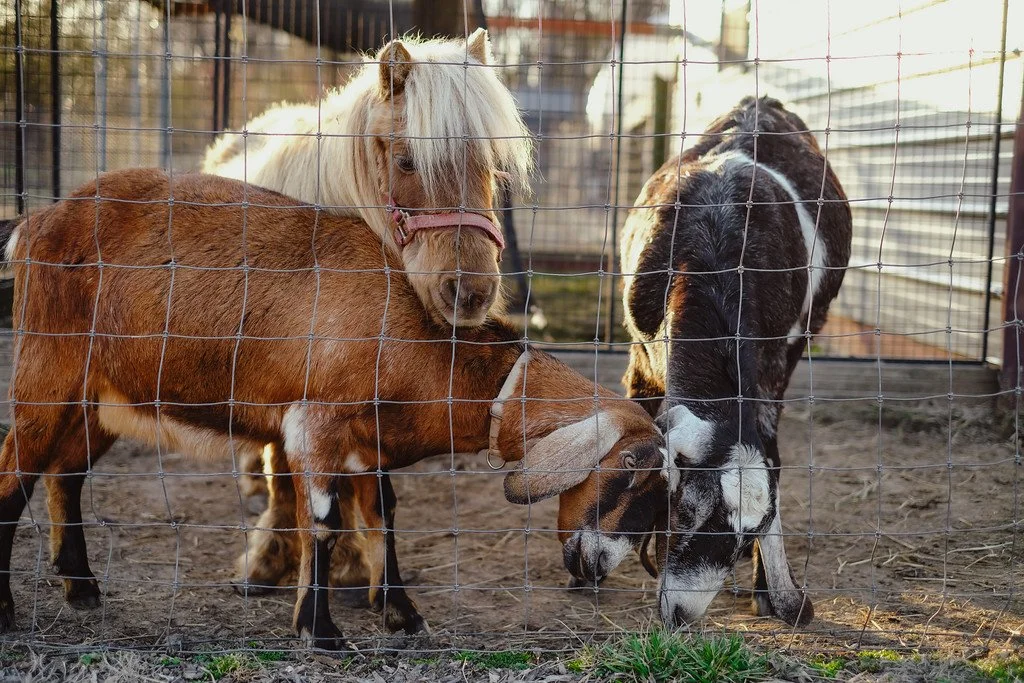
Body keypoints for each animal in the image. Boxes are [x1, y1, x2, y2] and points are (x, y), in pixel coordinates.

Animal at [0, 169, 667, 649]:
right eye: (631, 474)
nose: (600, 568)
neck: (414, 335)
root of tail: (35, 223)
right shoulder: (315, 421)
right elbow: (321, 522)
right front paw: (319, 631)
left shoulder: (366, 446)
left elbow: (382, 517)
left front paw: (401, 613)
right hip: (47, 369)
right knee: (14, 473)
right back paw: (9, 607)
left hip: (100, 397)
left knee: (64, 475)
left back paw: (81, 587)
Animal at [620, 96, 852, 628]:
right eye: (685, 510)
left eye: (746, 537)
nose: (681, 613)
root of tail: (760, 102)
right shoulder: (641, 357)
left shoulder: (771, 370)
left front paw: (772, 592)